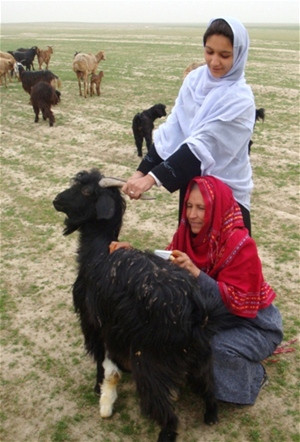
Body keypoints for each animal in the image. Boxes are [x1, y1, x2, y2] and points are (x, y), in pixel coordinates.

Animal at [52, 168, 239, 442]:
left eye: (86, 191)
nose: (56, 200)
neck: (98, 251)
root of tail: (192, 311)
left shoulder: (93, 322)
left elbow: (99, 358)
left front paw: (98, 387)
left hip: (150, 362)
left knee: (169, 415)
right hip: (200, 356)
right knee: (209, 388)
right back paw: (211, 416)